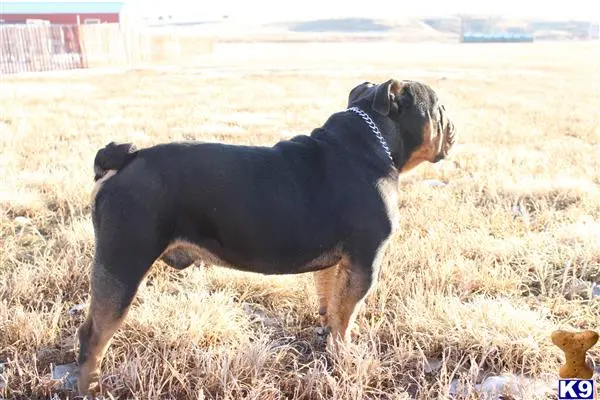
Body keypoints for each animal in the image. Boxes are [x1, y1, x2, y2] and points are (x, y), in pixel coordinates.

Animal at [77, 79, 458, 394]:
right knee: (94, 337)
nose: (454, 124)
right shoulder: (365, 263)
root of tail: (126, 157)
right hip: (123, 264)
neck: (371, 141)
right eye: (440, 108)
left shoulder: (337, 265)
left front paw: (327, 342)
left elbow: (331, 305)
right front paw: (343, 356)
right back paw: (91, 387)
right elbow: (345, 317)